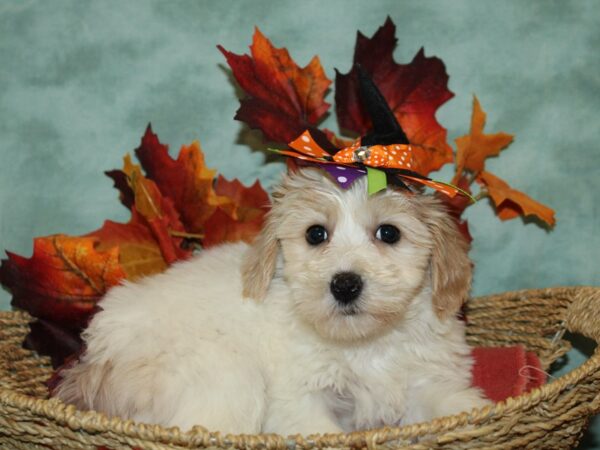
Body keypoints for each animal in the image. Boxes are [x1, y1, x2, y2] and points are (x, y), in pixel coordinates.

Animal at [55, 168, 488, 432]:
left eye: (389, 233)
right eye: (316, 234)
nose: (345, 285)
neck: (364, 343)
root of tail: (98, 356)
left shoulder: (428, 381)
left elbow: (460, 406)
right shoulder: (299, 400)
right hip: (225, 377)